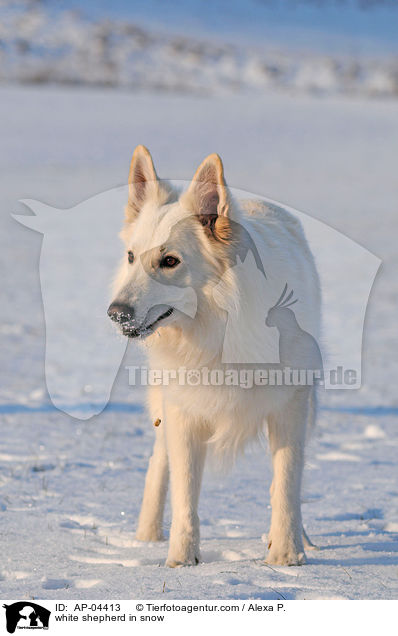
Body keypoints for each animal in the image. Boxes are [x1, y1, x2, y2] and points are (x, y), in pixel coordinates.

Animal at [108, 145, 320, 568]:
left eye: (169, 261)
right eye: (131, 256)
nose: (115, 313)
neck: (217, 330)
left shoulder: (291, 404)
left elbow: (287, 480)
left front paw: (287, 555)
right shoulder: (183, 412)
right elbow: (185, 491)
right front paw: (181, 561)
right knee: (159, 463)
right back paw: (146, 536)